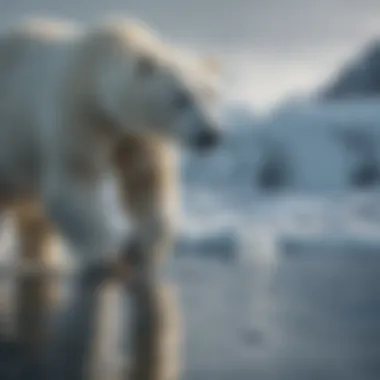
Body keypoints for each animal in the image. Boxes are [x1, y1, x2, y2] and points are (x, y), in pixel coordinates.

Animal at [0, 16, 221, 378]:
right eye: (180, 98)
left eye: (211, 95)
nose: (211, 136)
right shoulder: (78, 118)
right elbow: (73, 186)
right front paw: (110, 258)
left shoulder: (139, 137)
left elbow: (148, 188)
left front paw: (139, 251)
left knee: (33, 217)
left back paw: (43, 261)